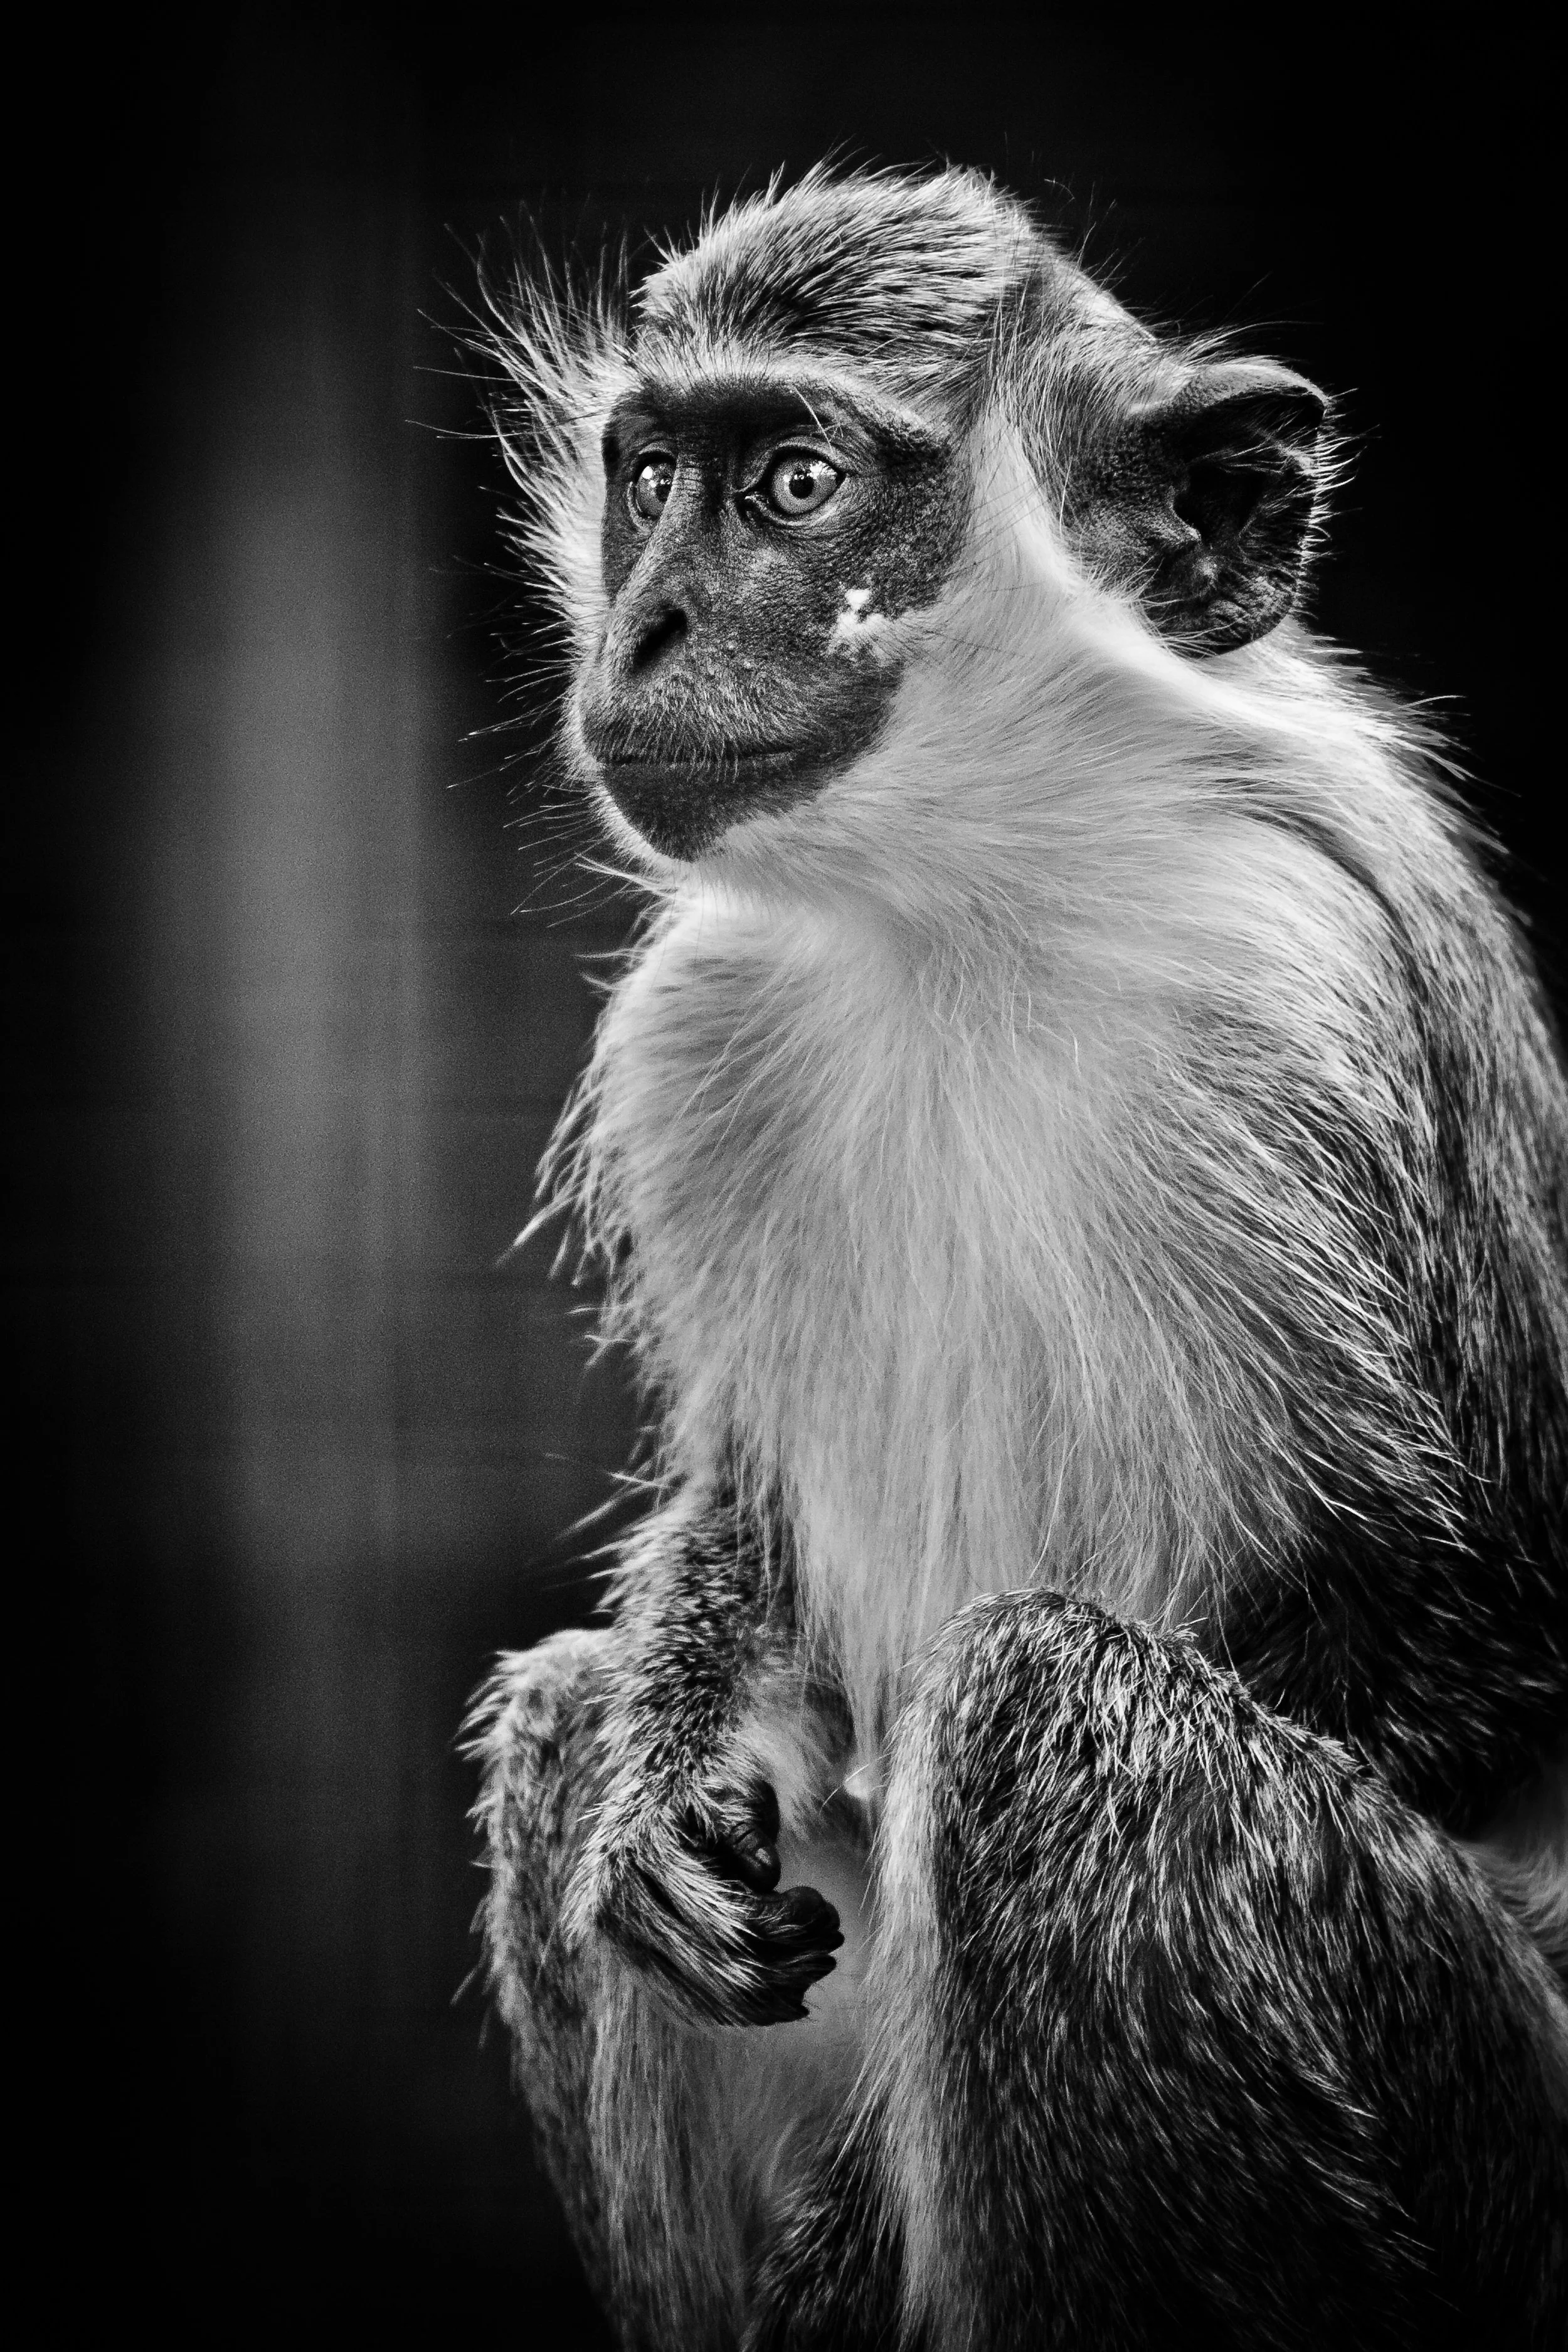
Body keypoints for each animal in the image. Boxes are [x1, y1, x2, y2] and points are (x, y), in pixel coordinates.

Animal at [467, 165, 1568, 2349]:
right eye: (652, 476)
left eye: (798, 485)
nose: (643, 628)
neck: (970, 900)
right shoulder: (707, 1018)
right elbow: (743, 1512)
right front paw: (655, 1791)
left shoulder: (1273, 990)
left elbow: (1470, 1616)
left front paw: (848, 2235)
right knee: (557, 1725)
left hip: (1482, 2108)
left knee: (1037, 1717)